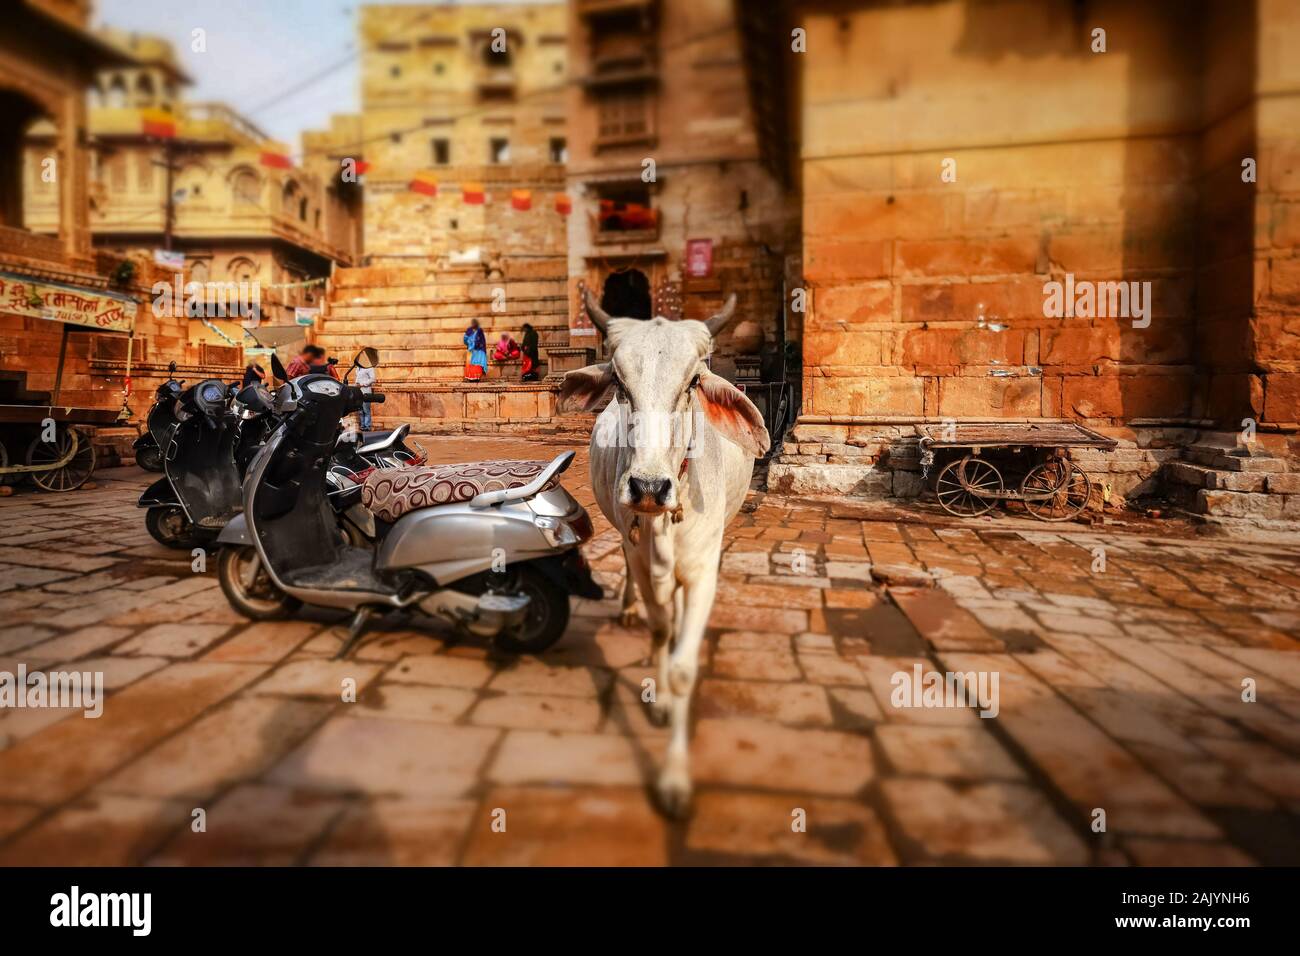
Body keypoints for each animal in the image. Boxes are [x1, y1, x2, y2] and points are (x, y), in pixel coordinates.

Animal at [561, 291, 769, 816]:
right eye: (619, 382)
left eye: (693, 381)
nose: (649, 487)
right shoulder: (639, 555)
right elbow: (660, 630)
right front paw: (658, 705)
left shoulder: (703, 573)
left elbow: (682, 669)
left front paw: (674, 776)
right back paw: (629, 608)